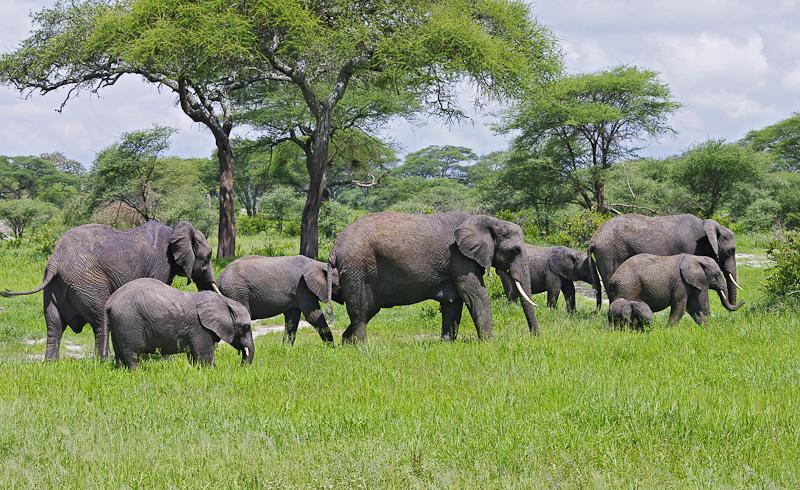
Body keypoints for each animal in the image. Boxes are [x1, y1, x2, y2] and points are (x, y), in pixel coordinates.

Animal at [1, 221, 217, 360]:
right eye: (208, 257)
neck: (174, 230)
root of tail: (55, 260)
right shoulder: (161, 264)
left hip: (54, 287)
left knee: (54, 324)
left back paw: (51, 363)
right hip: (88, 282)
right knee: (100, 320)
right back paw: (103, 360)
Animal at [106, 278, 254, 369]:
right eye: (245, 327)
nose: (240, 367)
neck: (224, 301)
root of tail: (110, 302)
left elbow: (194, 356)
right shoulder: (200, 328)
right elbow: (204, 355)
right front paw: (210, 371)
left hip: (118, 323)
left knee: (119, 352)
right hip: (129, 321)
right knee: (133, 352)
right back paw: (136, 371)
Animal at [326, 211, 539, 343]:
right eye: (515, 250)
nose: (535, 337)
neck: (488, 220)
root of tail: (334, 248)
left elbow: (453, 302)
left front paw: (447, 343)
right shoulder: (461, 259)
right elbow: (475, 295)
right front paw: (488, 343)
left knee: (364, 312)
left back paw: (346, 344)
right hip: (358, 268)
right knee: (361, 312)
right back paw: (362, 348)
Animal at [608, 253, 744, 325]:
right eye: (716, 275)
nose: (744, 301)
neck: (696, 258)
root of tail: (613, 279)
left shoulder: (690, 283)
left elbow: (693, 308)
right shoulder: (681, 283)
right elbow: (682, 307)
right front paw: (669, 330)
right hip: (628, 287)